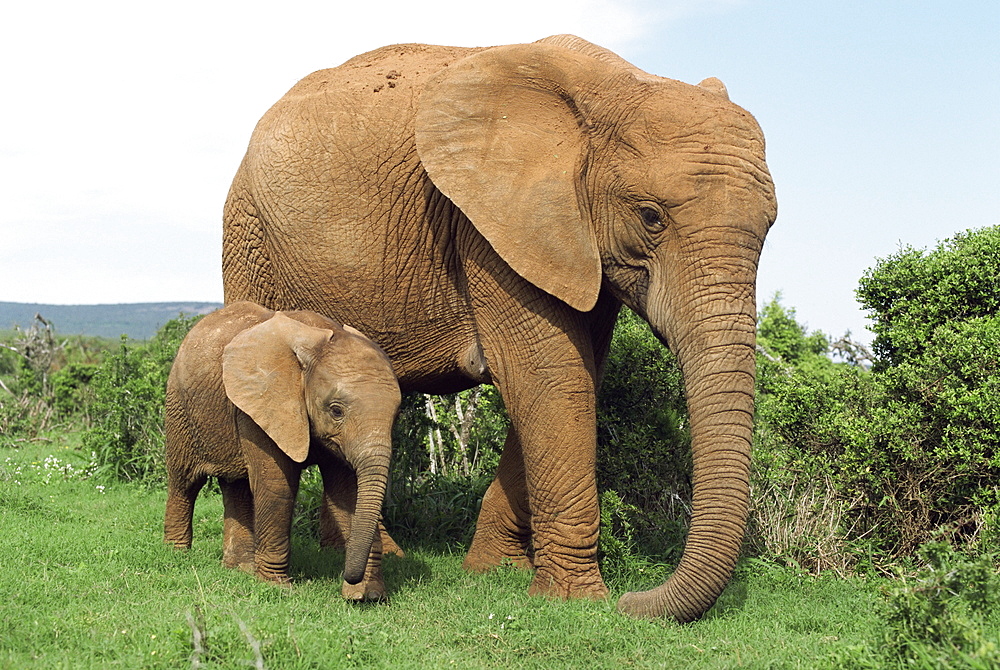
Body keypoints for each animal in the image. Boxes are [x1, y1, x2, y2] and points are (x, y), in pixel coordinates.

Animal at [162, 302, 400, 600]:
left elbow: (349, 491)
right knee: (184, 482)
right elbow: (276, 485)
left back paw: (240, 568)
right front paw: (277, 587)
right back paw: (177, 554)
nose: (346, 575)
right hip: (179, 407)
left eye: (396, 414)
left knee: (236, 485)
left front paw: (367, 596)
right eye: (336, 410)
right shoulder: (260, 403)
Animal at [223, 34, 776, 624]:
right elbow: (550, 377)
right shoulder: (489, 225)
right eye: (651, 216)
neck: (612, 86)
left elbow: (574, 375)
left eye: (770, 226)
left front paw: (494, 571)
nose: (634, 601)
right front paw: (575, 599)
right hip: (248, 233)